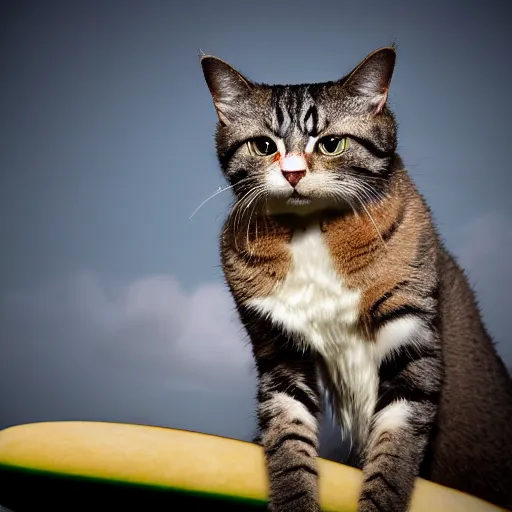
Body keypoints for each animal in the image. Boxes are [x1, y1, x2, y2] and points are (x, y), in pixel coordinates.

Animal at [199, 46, 512, 510]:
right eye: (264, 146)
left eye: (332, 144)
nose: (293, 173)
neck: (310, 230)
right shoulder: (280, 351)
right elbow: (287, 438)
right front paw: (294, 498)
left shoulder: (411, 340)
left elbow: (393, 451)